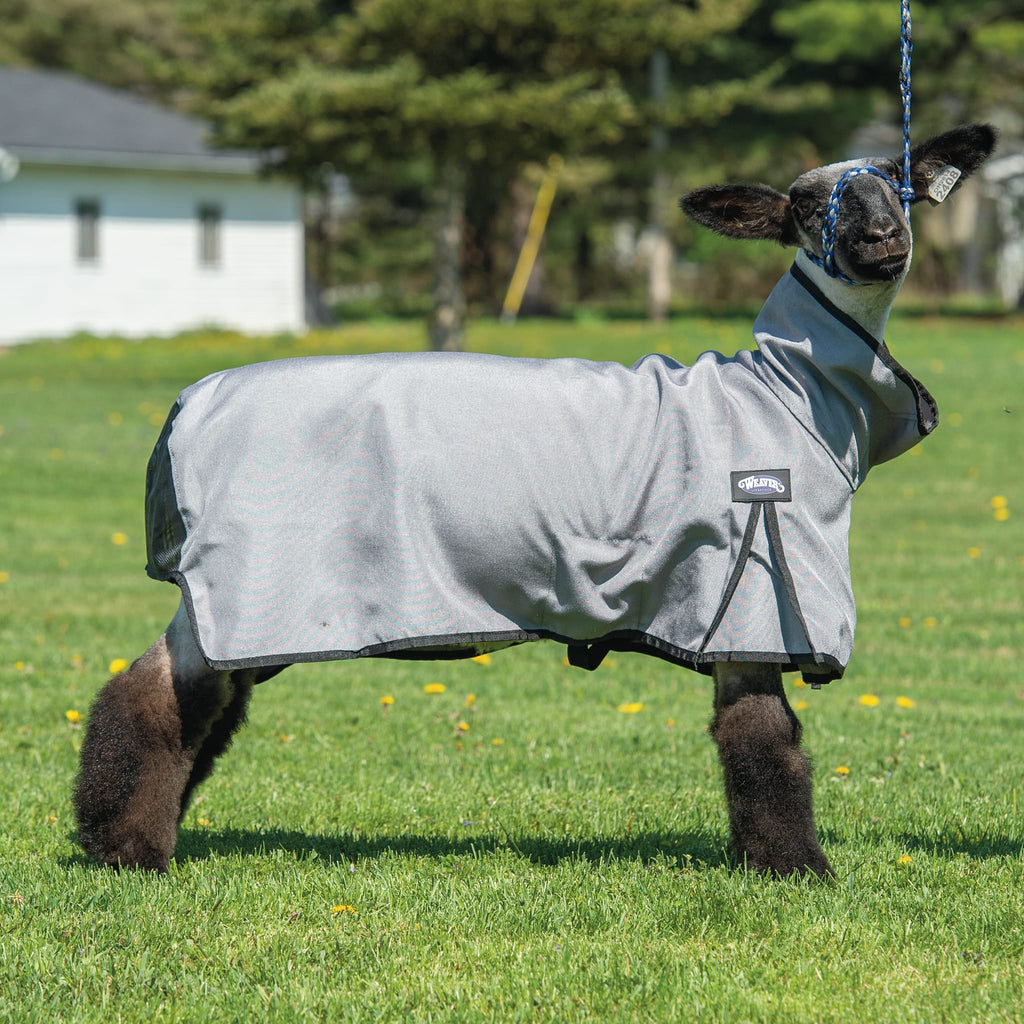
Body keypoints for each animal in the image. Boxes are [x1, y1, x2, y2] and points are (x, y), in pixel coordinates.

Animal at [75, 124, 996, 877]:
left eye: (898, 183)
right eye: (805, 206)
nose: (882, 239)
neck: (784, 394)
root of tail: (187, 405)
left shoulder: (741, 608)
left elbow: (755, 743)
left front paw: (760, 862)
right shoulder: (756, 599)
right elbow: (766, 745)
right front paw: (795, 871)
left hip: (244, 600)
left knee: (193, 698)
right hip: (250, 580)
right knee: (156, 696)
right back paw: (124, 850)